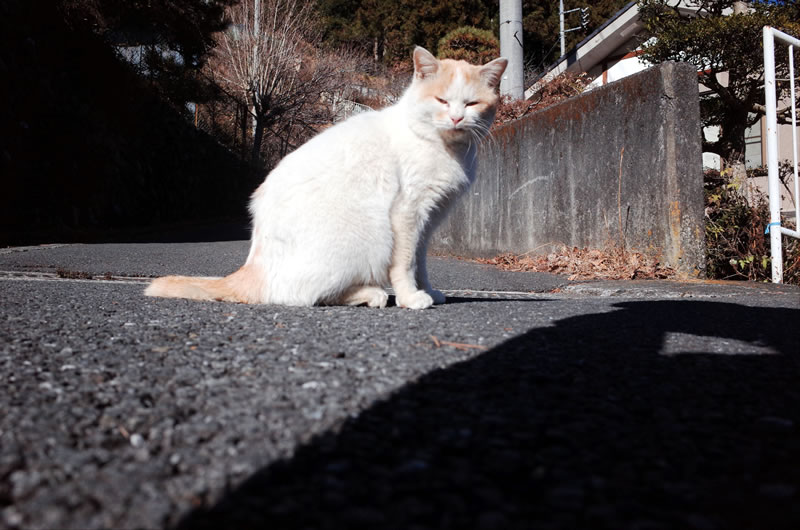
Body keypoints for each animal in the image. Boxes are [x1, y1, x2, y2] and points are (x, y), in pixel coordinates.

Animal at [144, 48, 506, 310]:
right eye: (441, 101)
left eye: (471, 103)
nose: (457, 118)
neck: (444, 146)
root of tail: (251, 269)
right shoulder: (408, 214)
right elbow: (405, 264)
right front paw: (410, 298)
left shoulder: (428, 220)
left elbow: (422, 263)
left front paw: (429, 290)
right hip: (370, 233)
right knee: (303, 296)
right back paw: (372, 294)